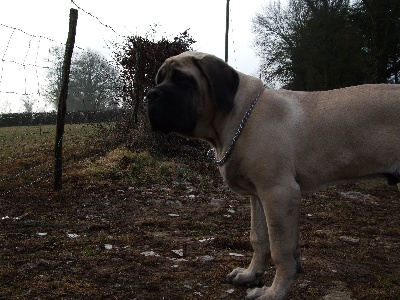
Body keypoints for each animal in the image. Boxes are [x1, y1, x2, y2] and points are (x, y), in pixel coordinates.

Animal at [147, 50, 400, 298]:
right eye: (159, 79)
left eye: (183, 80)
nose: (150, 94)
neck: (240, 117)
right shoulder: (258, 196)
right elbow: (259, 239)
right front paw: (251, 275)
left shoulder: (279, 193)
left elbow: (281, 250)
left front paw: (274, 292)